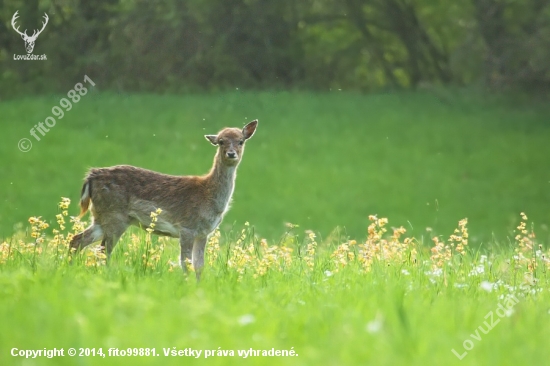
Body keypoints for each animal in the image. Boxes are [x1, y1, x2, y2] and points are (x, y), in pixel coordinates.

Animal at [69, 121, 258, 280]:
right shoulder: (187, 227)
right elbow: (186, 263)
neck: (209, 196)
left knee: (77, 240)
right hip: (115, 216)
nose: (231, 154)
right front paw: (187, 285)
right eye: (220, 141)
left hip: (101, 217)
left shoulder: (204, 233)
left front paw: (198, 286)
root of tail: (91, 176)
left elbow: (199, 266)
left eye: (241, 141)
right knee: (102, 251)